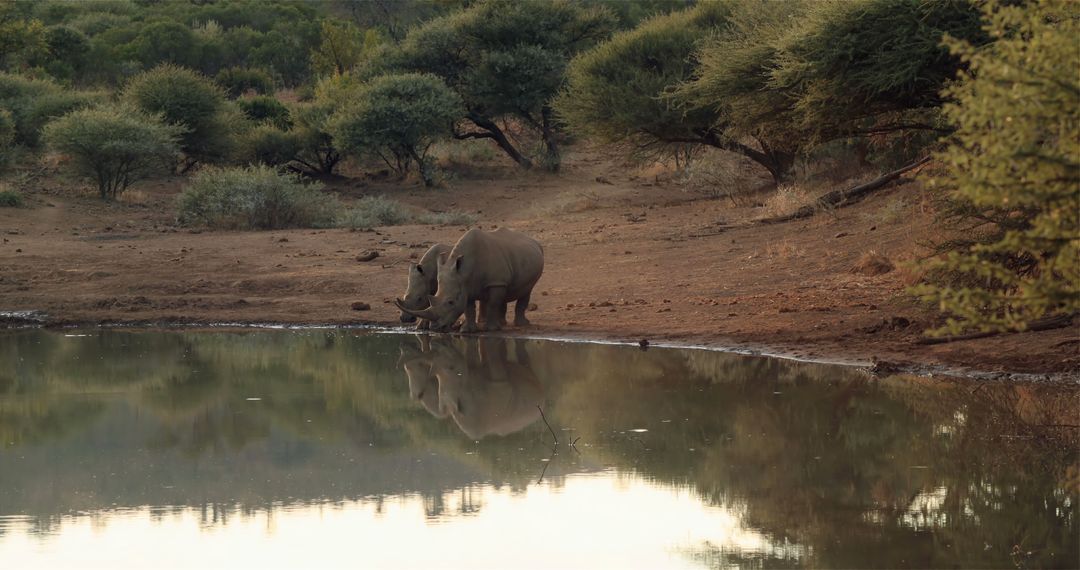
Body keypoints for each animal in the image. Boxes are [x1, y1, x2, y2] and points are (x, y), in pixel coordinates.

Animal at [395, 226, 544, 334]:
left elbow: (492, 304)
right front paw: (467, 330)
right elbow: (468, 307)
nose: (437, 329)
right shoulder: (464, 283)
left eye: (419, 298)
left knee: (525, 290)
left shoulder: (492, 281)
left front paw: (491, 329)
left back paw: (520, 324)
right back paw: (498, 323)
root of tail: (534, 241)